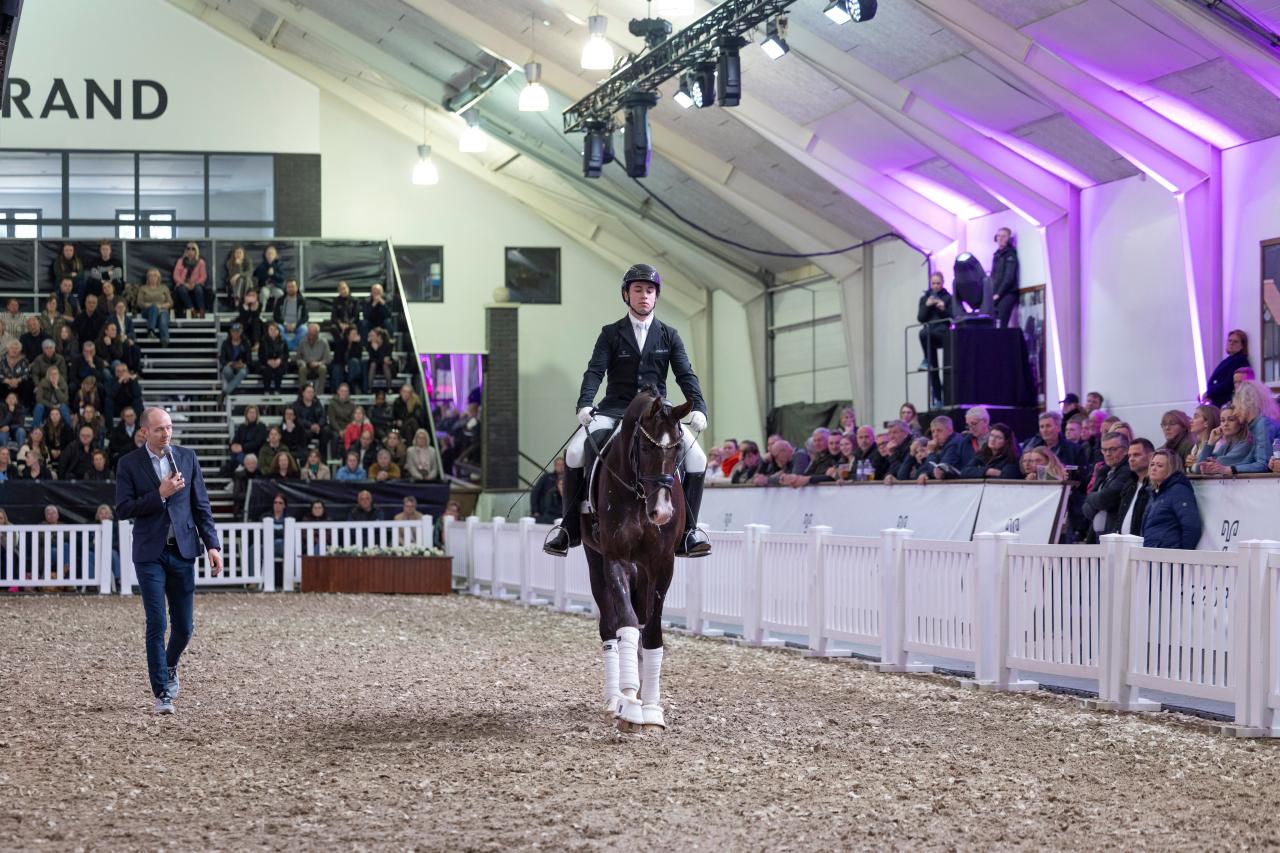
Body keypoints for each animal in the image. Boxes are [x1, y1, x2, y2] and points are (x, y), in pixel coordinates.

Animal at [581, 388, 692, 733]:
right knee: (610, 626)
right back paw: (613, 699)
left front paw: (652, 708)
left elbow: (652, 631)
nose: (663, 513)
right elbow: (626, 624)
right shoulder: (614, 558)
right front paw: (629, 703)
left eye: (678, 447)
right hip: (595, 561)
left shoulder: (663, 563)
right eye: (645, 446)